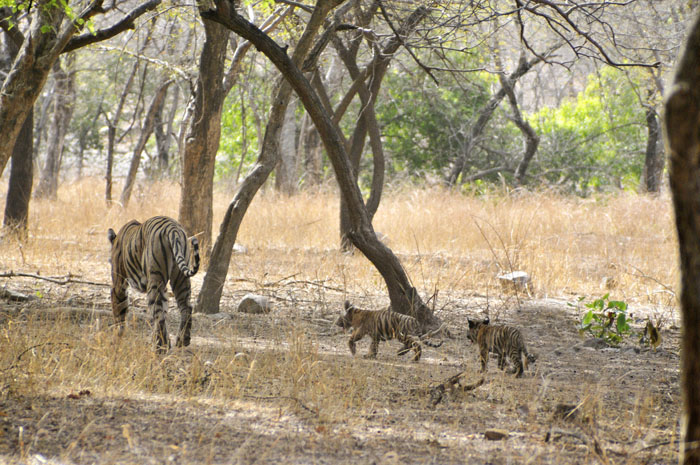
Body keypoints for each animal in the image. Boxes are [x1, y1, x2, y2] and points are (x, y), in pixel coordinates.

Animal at [108, 215, 200, 352]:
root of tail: (173, 228)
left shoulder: (119, 284)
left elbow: (119, 314)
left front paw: (116, 339)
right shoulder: (164, 289)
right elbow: (165, 310)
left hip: (155, 281)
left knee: (158, 314)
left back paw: (159, 347)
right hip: (180, 278)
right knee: (186, 307)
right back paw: (182, 340)